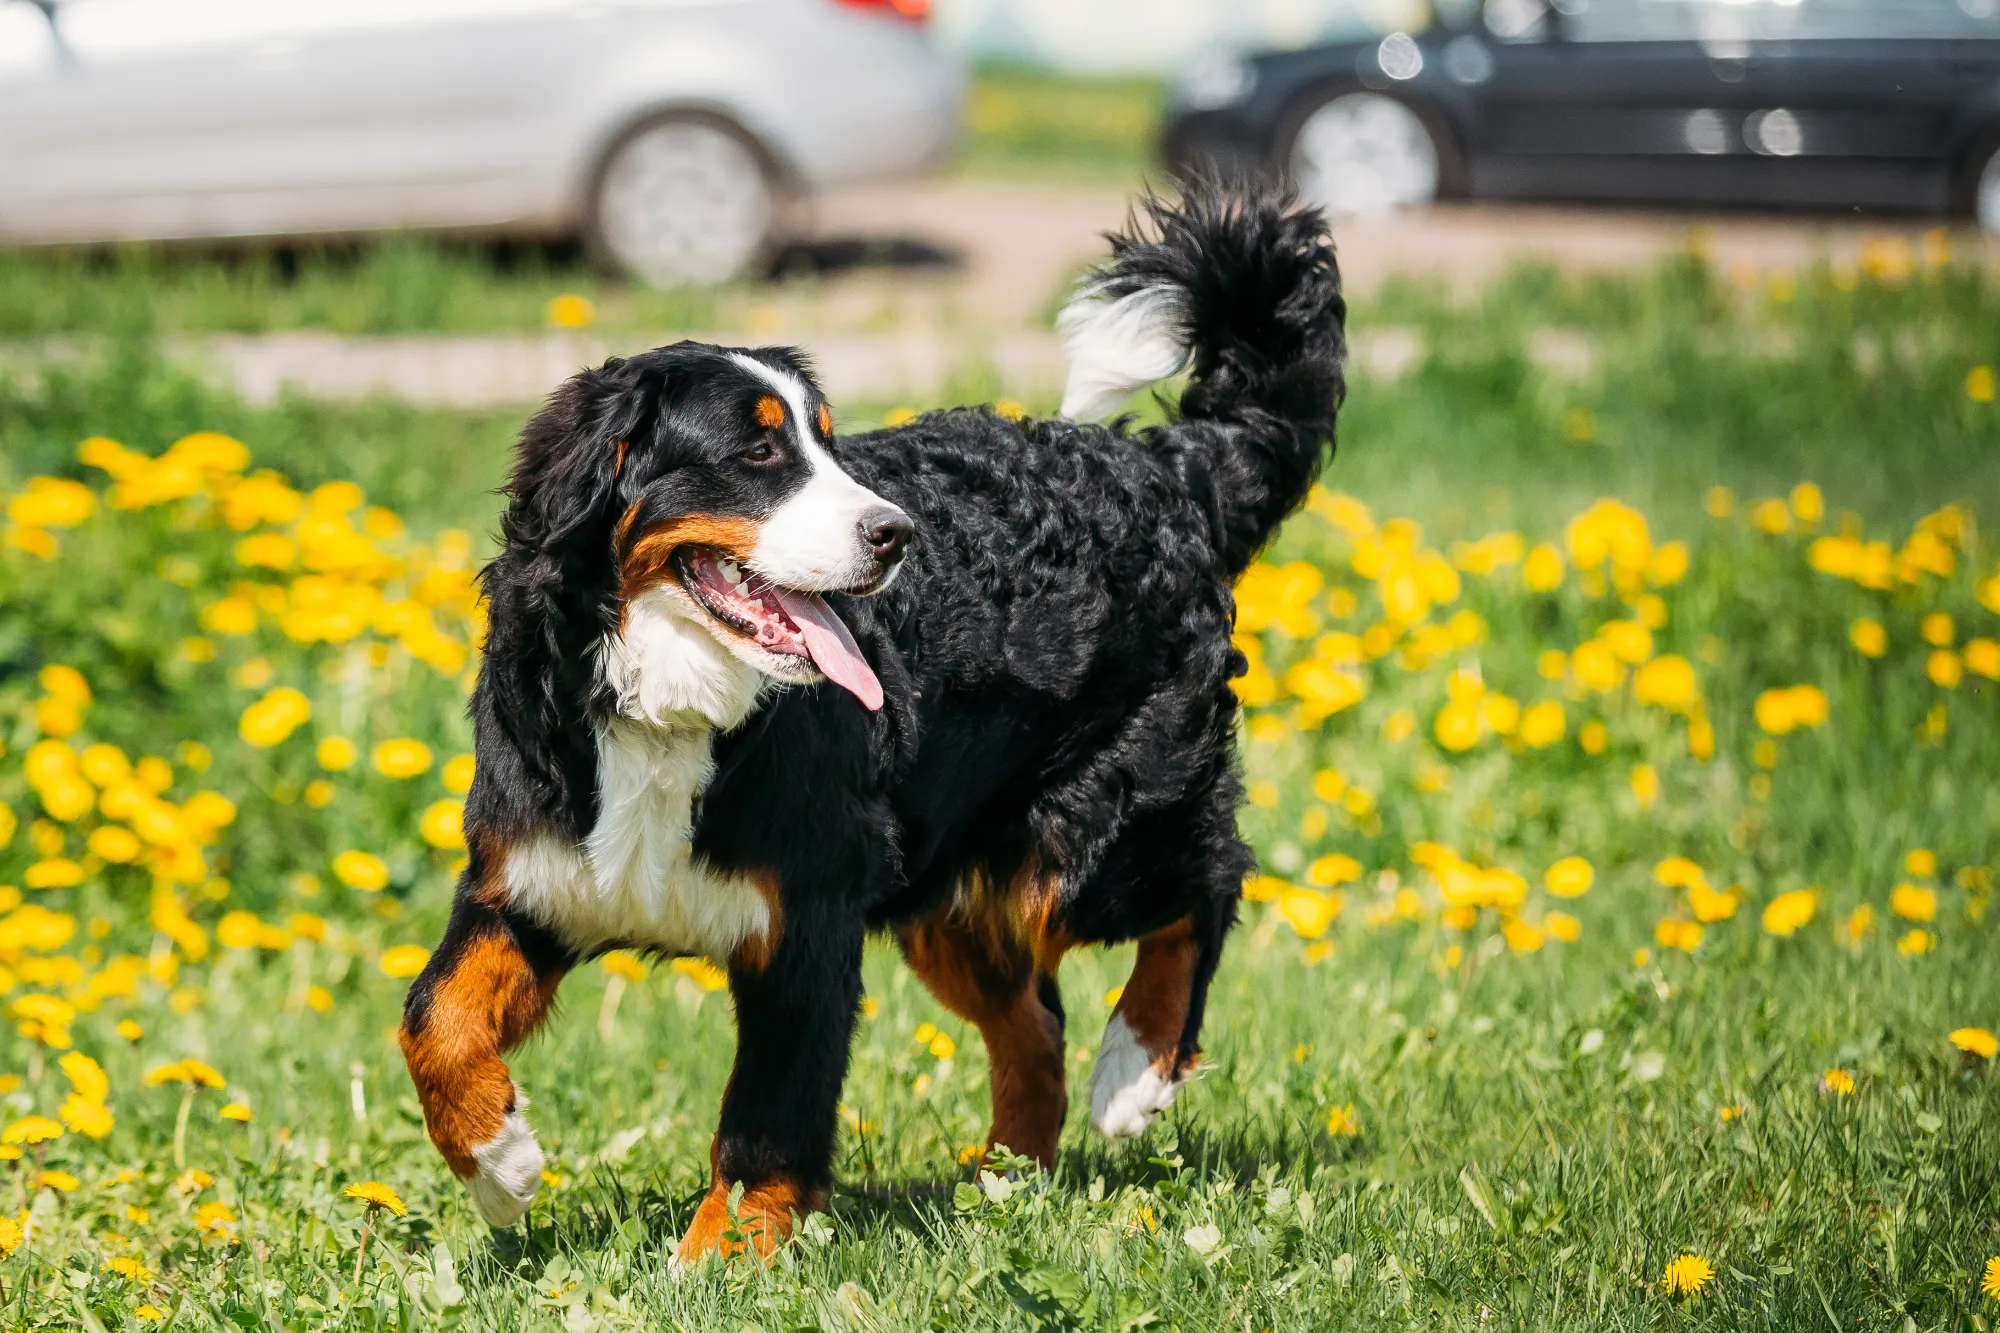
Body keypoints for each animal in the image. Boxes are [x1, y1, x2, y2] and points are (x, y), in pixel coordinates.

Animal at [394, 179, 1344, 1256]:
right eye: (759, 449)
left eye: (827, 444)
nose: (896, 533)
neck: (669, 706)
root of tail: (1165, 470)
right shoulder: (532, 885)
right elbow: (432, 1018)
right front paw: (500, 1163)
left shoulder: (804, 923)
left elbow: (768, 1115)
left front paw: (721, 1255)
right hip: (946, 885)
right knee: (1034, 1024)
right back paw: (1001, 1185)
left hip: (1090, 834)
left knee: (1206, 881)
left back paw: (1132, 1069)